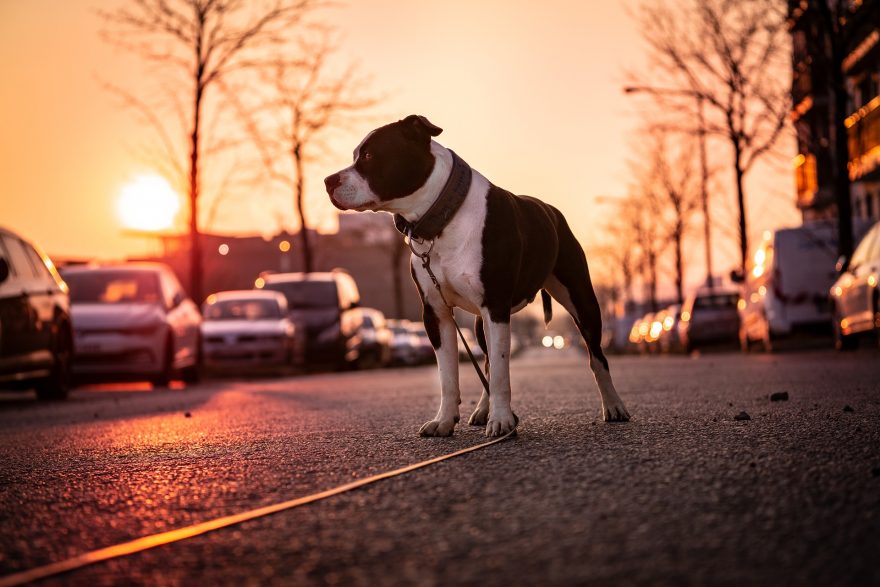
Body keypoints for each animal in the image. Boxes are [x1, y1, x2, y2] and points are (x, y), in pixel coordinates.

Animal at [326, 115, 628, 436]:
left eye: (370, 156)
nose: (328, 181)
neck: (442, 218)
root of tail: (551, 211)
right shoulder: (436, 314)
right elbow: (449, 375)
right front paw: (445, 421)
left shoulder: (495, 307)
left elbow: (501, 372)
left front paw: (503, 420)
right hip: (481, 324)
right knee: (487, 363)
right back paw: (483, 409)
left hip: (582, 301)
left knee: (596, 356)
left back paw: (613, 406)